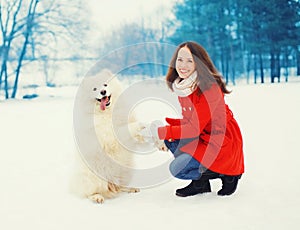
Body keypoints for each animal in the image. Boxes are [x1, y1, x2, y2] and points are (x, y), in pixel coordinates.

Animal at [71, 69, 144, 204]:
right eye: (94, 88)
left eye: (105, 84)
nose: (103, 92)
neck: (108, 112)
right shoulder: (108, 134)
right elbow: (124, 129)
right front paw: (140, 125)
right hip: (92, 176)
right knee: (88, 193)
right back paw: (97, 197)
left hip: (126, 170)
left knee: (120, 185)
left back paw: (130, 188)